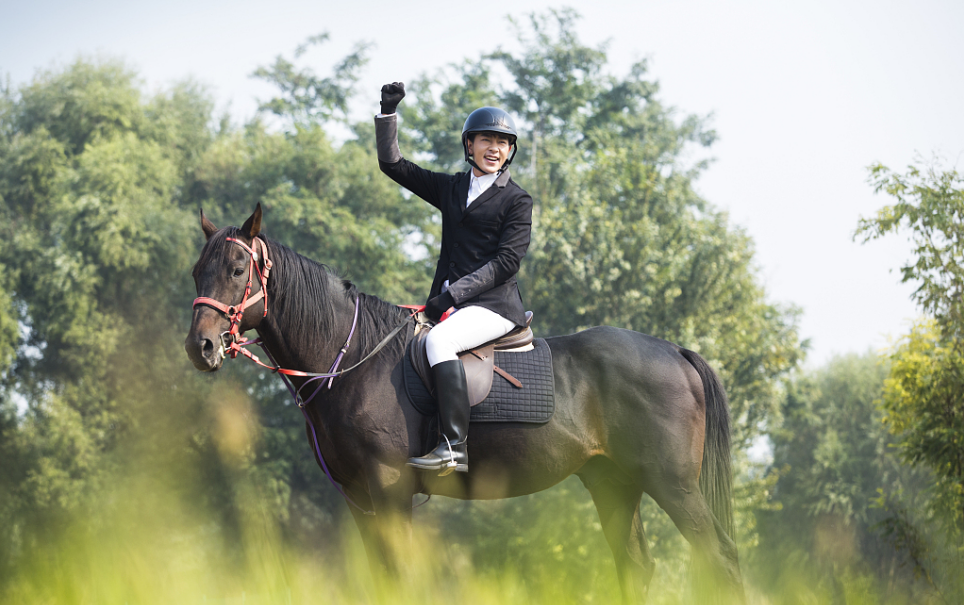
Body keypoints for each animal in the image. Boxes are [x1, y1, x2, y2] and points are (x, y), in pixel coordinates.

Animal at [186, 205, 744, 600]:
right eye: (197, 272)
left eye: (236, 268)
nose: (201, 347)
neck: (354, 359)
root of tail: (674, 351)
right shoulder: (360, 499)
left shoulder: (390, 490)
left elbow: (399, 577)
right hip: (614, 484)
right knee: (636, 566)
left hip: (672, 485)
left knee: (719, 559)